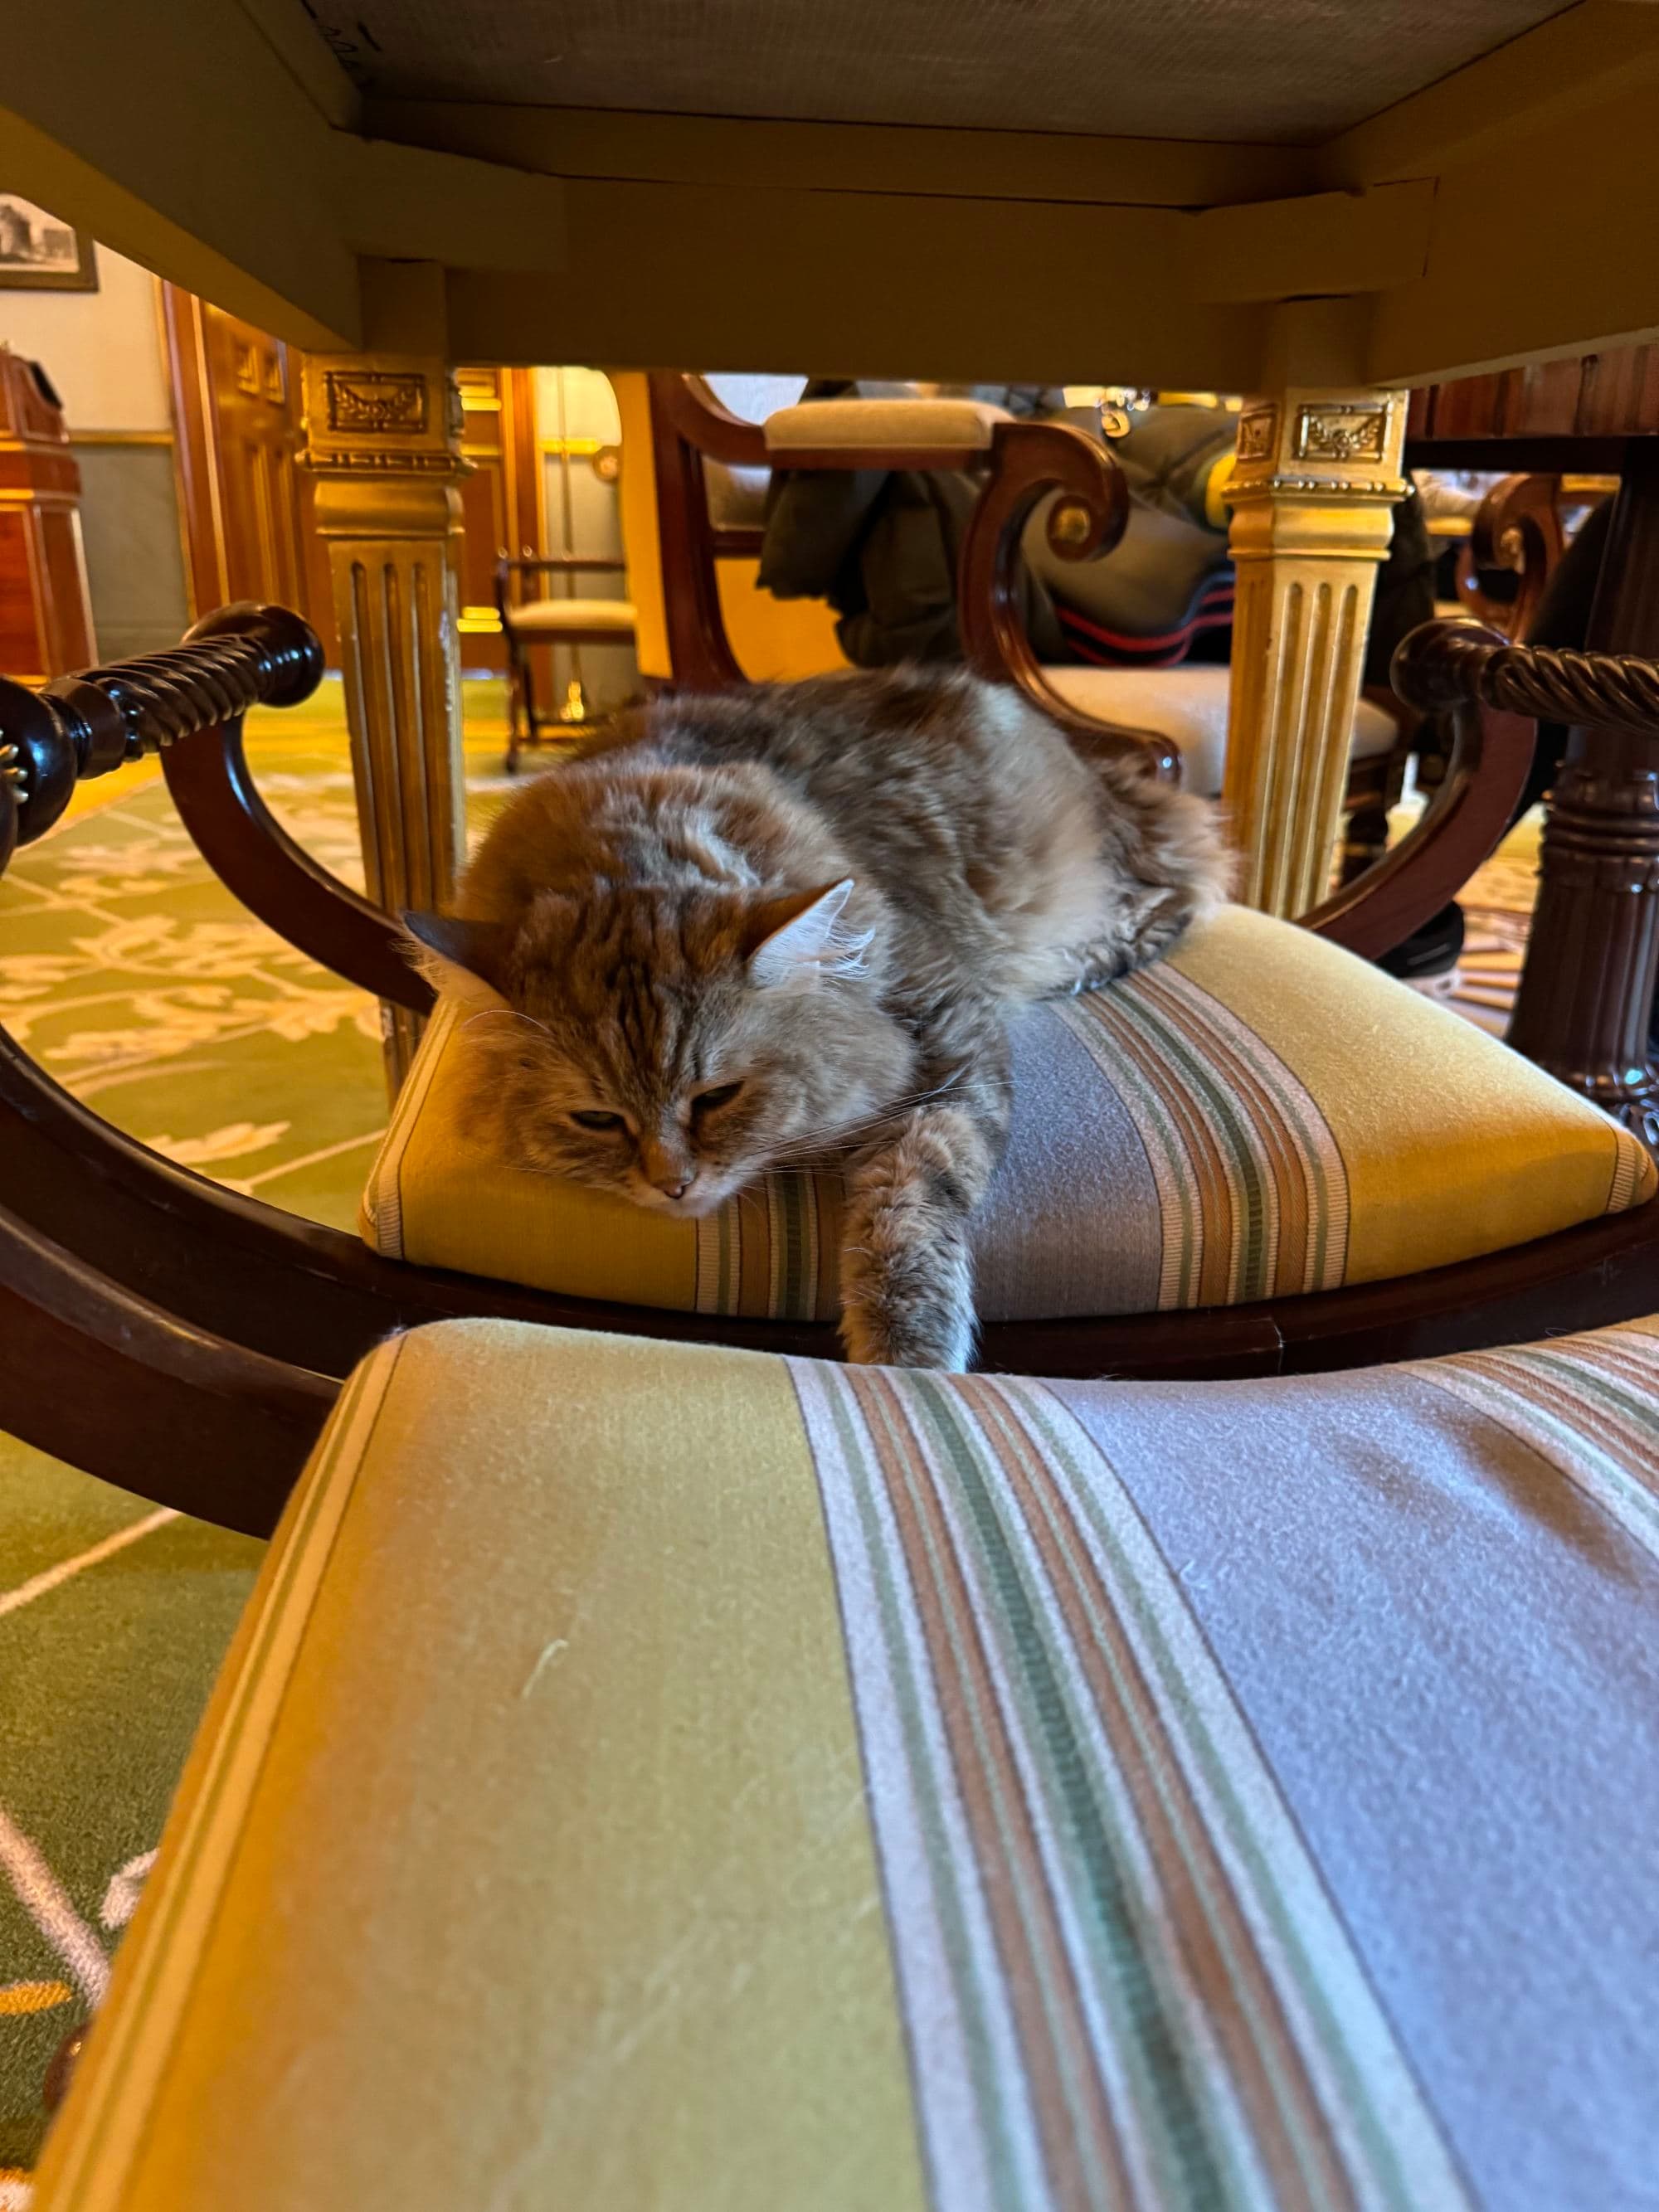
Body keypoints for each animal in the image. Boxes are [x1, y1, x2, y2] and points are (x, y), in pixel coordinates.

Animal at [406, 664, 1229, 1371]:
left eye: (717, 1097)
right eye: (598, 1120)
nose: (674, 1186)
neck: (633, 836)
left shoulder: (946, 1032)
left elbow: (910, 1199)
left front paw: (905, 1352)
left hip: (1097, 872)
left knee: (1174, 898)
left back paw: (1082, 960)